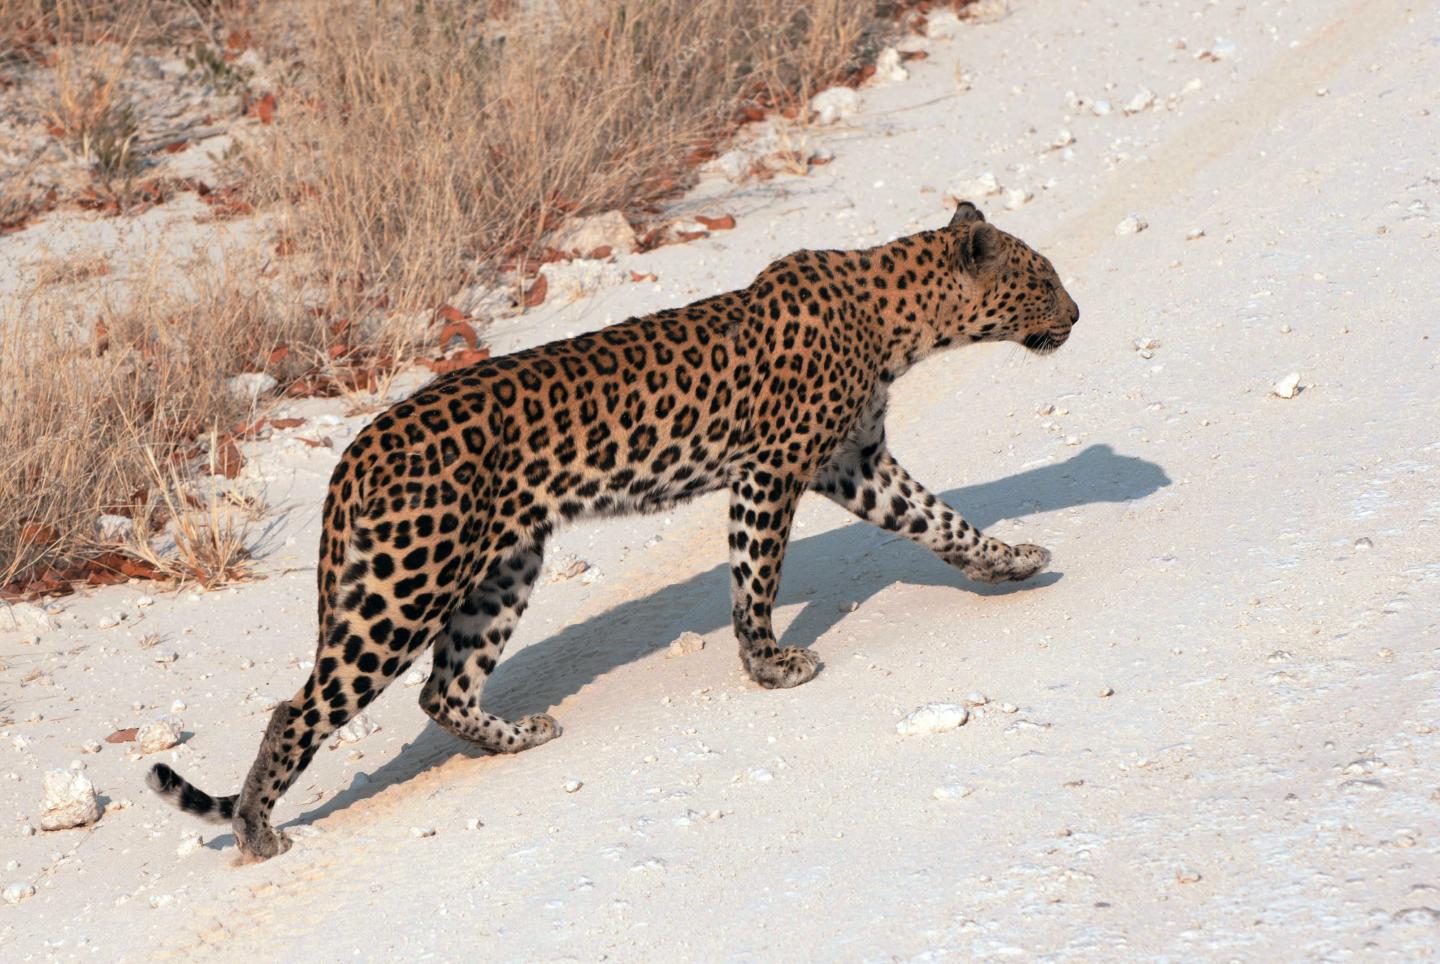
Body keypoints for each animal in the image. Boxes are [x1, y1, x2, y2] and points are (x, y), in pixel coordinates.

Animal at [148, 201, 1080, 861]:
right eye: (1044, 280)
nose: (1077, 313)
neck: (894, 317)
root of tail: (353, 452)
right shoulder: (771, 471)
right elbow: (757, 579)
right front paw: (770, 666)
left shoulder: (854, 463)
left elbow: (942, 520)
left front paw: (1011, 561)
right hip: (405, 583)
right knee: (299, 707)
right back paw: (258, 833)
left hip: (503, 567)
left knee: (443, 689)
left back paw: (520, 737)